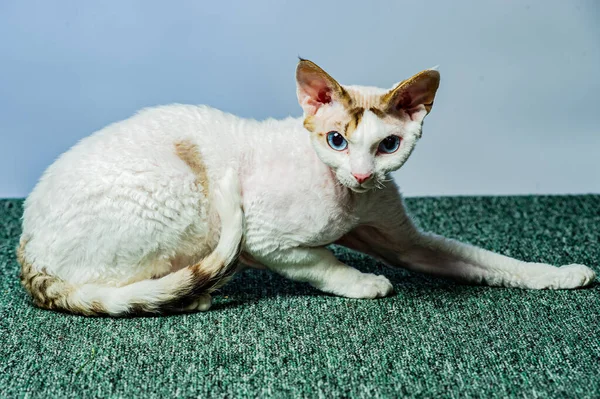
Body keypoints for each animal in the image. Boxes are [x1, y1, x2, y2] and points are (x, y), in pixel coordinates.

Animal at [17, 59, 596, 318]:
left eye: (388, 145)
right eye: (336, 140)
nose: (361, 174)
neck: (350, 200)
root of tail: (27, 250)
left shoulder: (402, 240)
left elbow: (491, 262)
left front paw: (562, 274)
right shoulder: (263, 239)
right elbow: (320, 261)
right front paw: (363, 282)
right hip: (185, 199)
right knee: (130, 285)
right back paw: (196, 294)